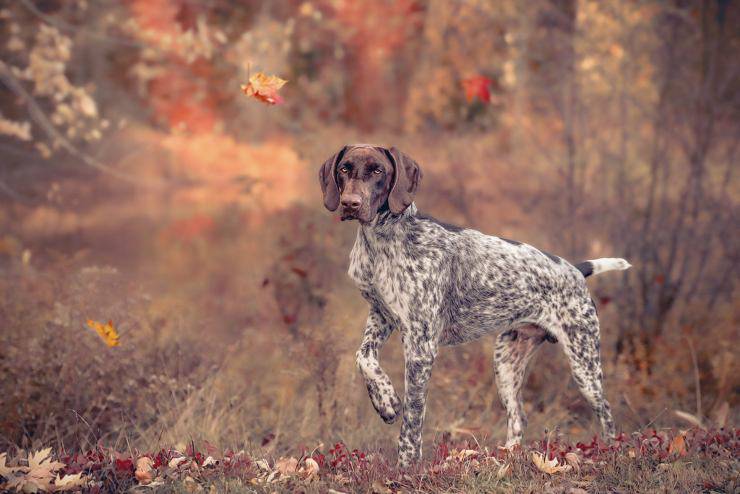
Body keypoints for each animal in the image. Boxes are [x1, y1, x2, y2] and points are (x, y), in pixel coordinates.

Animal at [318, 144, 632, 466]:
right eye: (344, 168)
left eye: (378, 170)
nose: (350, 203)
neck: (382, 241)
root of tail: (575, 270)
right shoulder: (381, 316)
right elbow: (364, 357)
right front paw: (386, 401)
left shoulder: (421, 347)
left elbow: (412, 419)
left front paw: (406, 465)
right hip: (506, 363)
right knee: (518, 417)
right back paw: (506, 458)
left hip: (584, 365)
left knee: (607, 415)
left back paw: (611, 453)